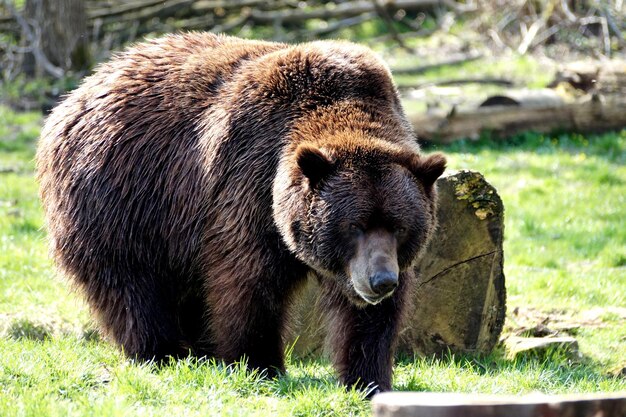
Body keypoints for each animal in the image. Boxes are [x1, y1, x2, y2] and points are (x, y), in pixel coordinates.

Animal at [36, 32, 444, 394]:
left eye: (399, 227)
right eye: (354, 226)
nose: (381, 281)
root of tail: (81, 89)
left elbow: (370, 320)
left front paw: (367, 378)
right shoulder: (247, 187)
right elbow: (249, 283)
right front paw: (260, 364)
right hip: (121, 197)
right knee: (130, 284)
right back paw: (161, 352)